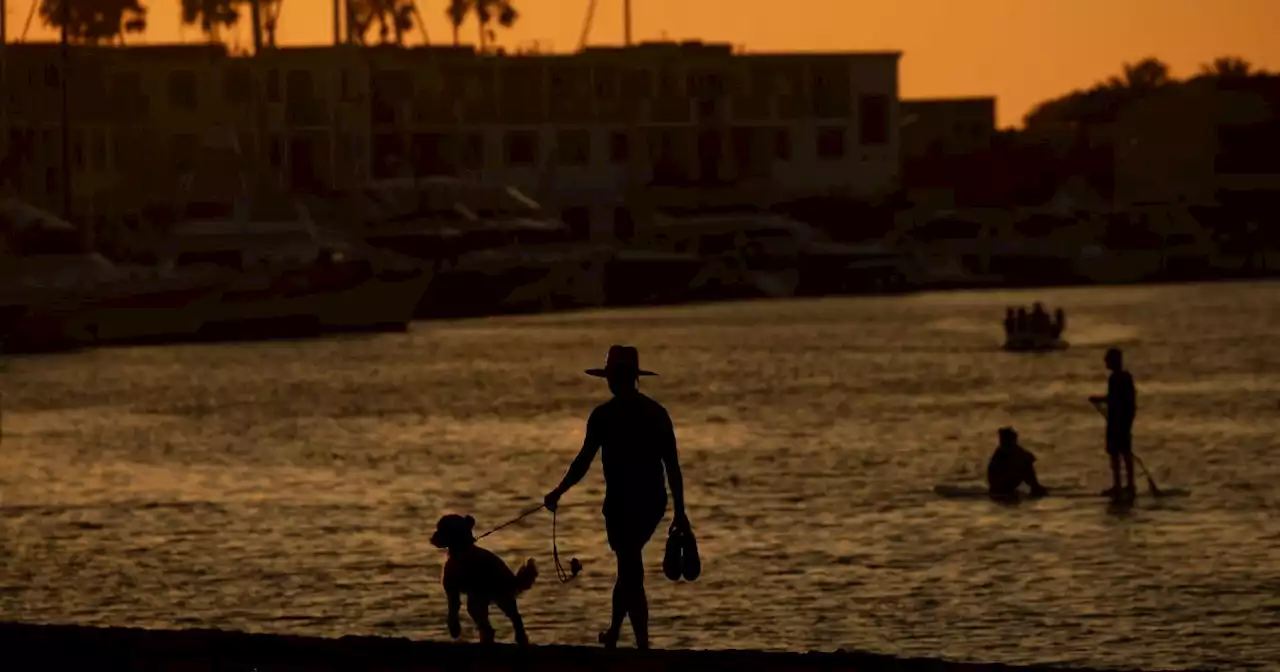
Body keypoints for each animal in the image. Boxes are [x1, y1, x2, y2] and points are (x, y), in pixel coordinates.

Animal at [432, 514, 537, 645]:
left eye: (441, 528)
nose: (432, 537)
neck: (463, 549)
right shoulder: (453, 590)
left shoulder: (451, 589)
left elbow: (452, 610)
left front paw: (454, 629)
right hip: (500, 598)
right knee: (507, 619)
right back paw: (518, 638)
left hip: (482, 599)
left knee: (490, 626)